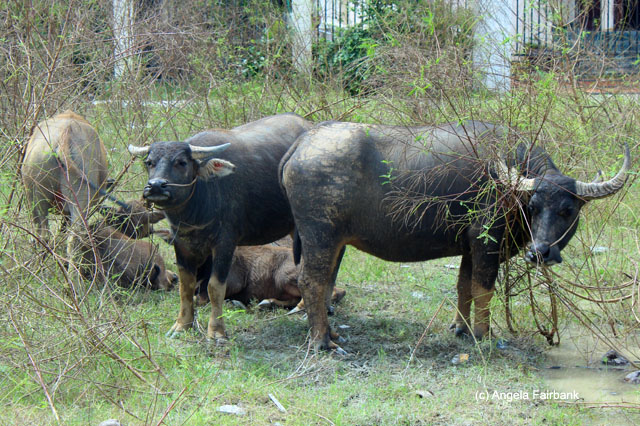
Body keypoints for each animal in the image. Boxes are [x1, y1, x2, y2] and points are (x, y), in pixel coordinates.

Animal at [128, 113, 313, 342]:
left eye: (181, 162)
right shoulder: (182, 244)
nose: (155, 186)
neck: (197, 209)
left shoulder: (225, 244)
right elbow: (186, 285)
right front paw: (182, 325)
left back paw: (302, 307)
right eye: (149, 162)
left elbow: (215, 286)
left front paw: (216, 331)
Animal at [280, 120, 630, 351]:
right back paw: (322, 341)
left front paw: (461, 327)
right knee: (311, 281)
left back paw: (330, 334)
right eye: (533, 206)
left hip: (332, 241)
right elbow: (483, 289)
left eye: (567, 210)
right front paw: (483, 333)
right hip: (320, 235)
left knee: (323, 282)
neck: (508, 187)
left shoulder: (468, 247)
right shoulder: (486, 243)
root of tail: (305, 141)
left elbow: (464, 286)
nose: (539, 252)